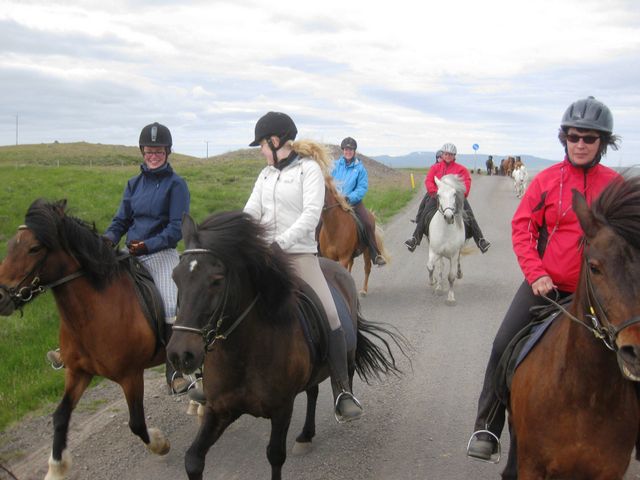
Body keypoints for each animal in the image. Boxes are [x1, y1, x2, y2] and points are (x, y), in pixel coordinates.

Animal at [0, 199, 170, 480]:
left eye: (34, 248)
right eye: (12, 244)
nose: (1, 297)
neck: (95, 313)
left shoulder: (131, 376)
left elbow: (136, 423)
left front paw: (159, 443)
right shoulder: (78, 372)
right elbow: (60, 416)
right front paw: (56, 468)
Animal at [166, 211, 405, 480]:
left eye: (216, 280)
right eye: (176, 277)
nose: (180, 354)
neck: (244, 354)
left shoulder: (281, 409)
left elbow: (275, 455)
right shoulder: (219, 409)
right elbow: (193, 459)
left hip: (345, 352)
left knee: (341, 374)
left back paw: (344, 405)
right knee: (312, 391)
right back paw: (306, 435)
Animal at [426, 175, 466, 306]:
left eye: (454, 194)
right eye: (438, 195)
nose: (448, 217)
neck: (445, 231)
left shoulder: (453, 255)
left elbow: (451, 277)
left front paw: (450, 298)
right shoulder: (434, 251)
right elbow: (431, 267)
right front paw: (432, 281)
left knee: (457, 263)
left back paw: (459, 273)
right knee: (440, 267)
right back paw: (439, 286)